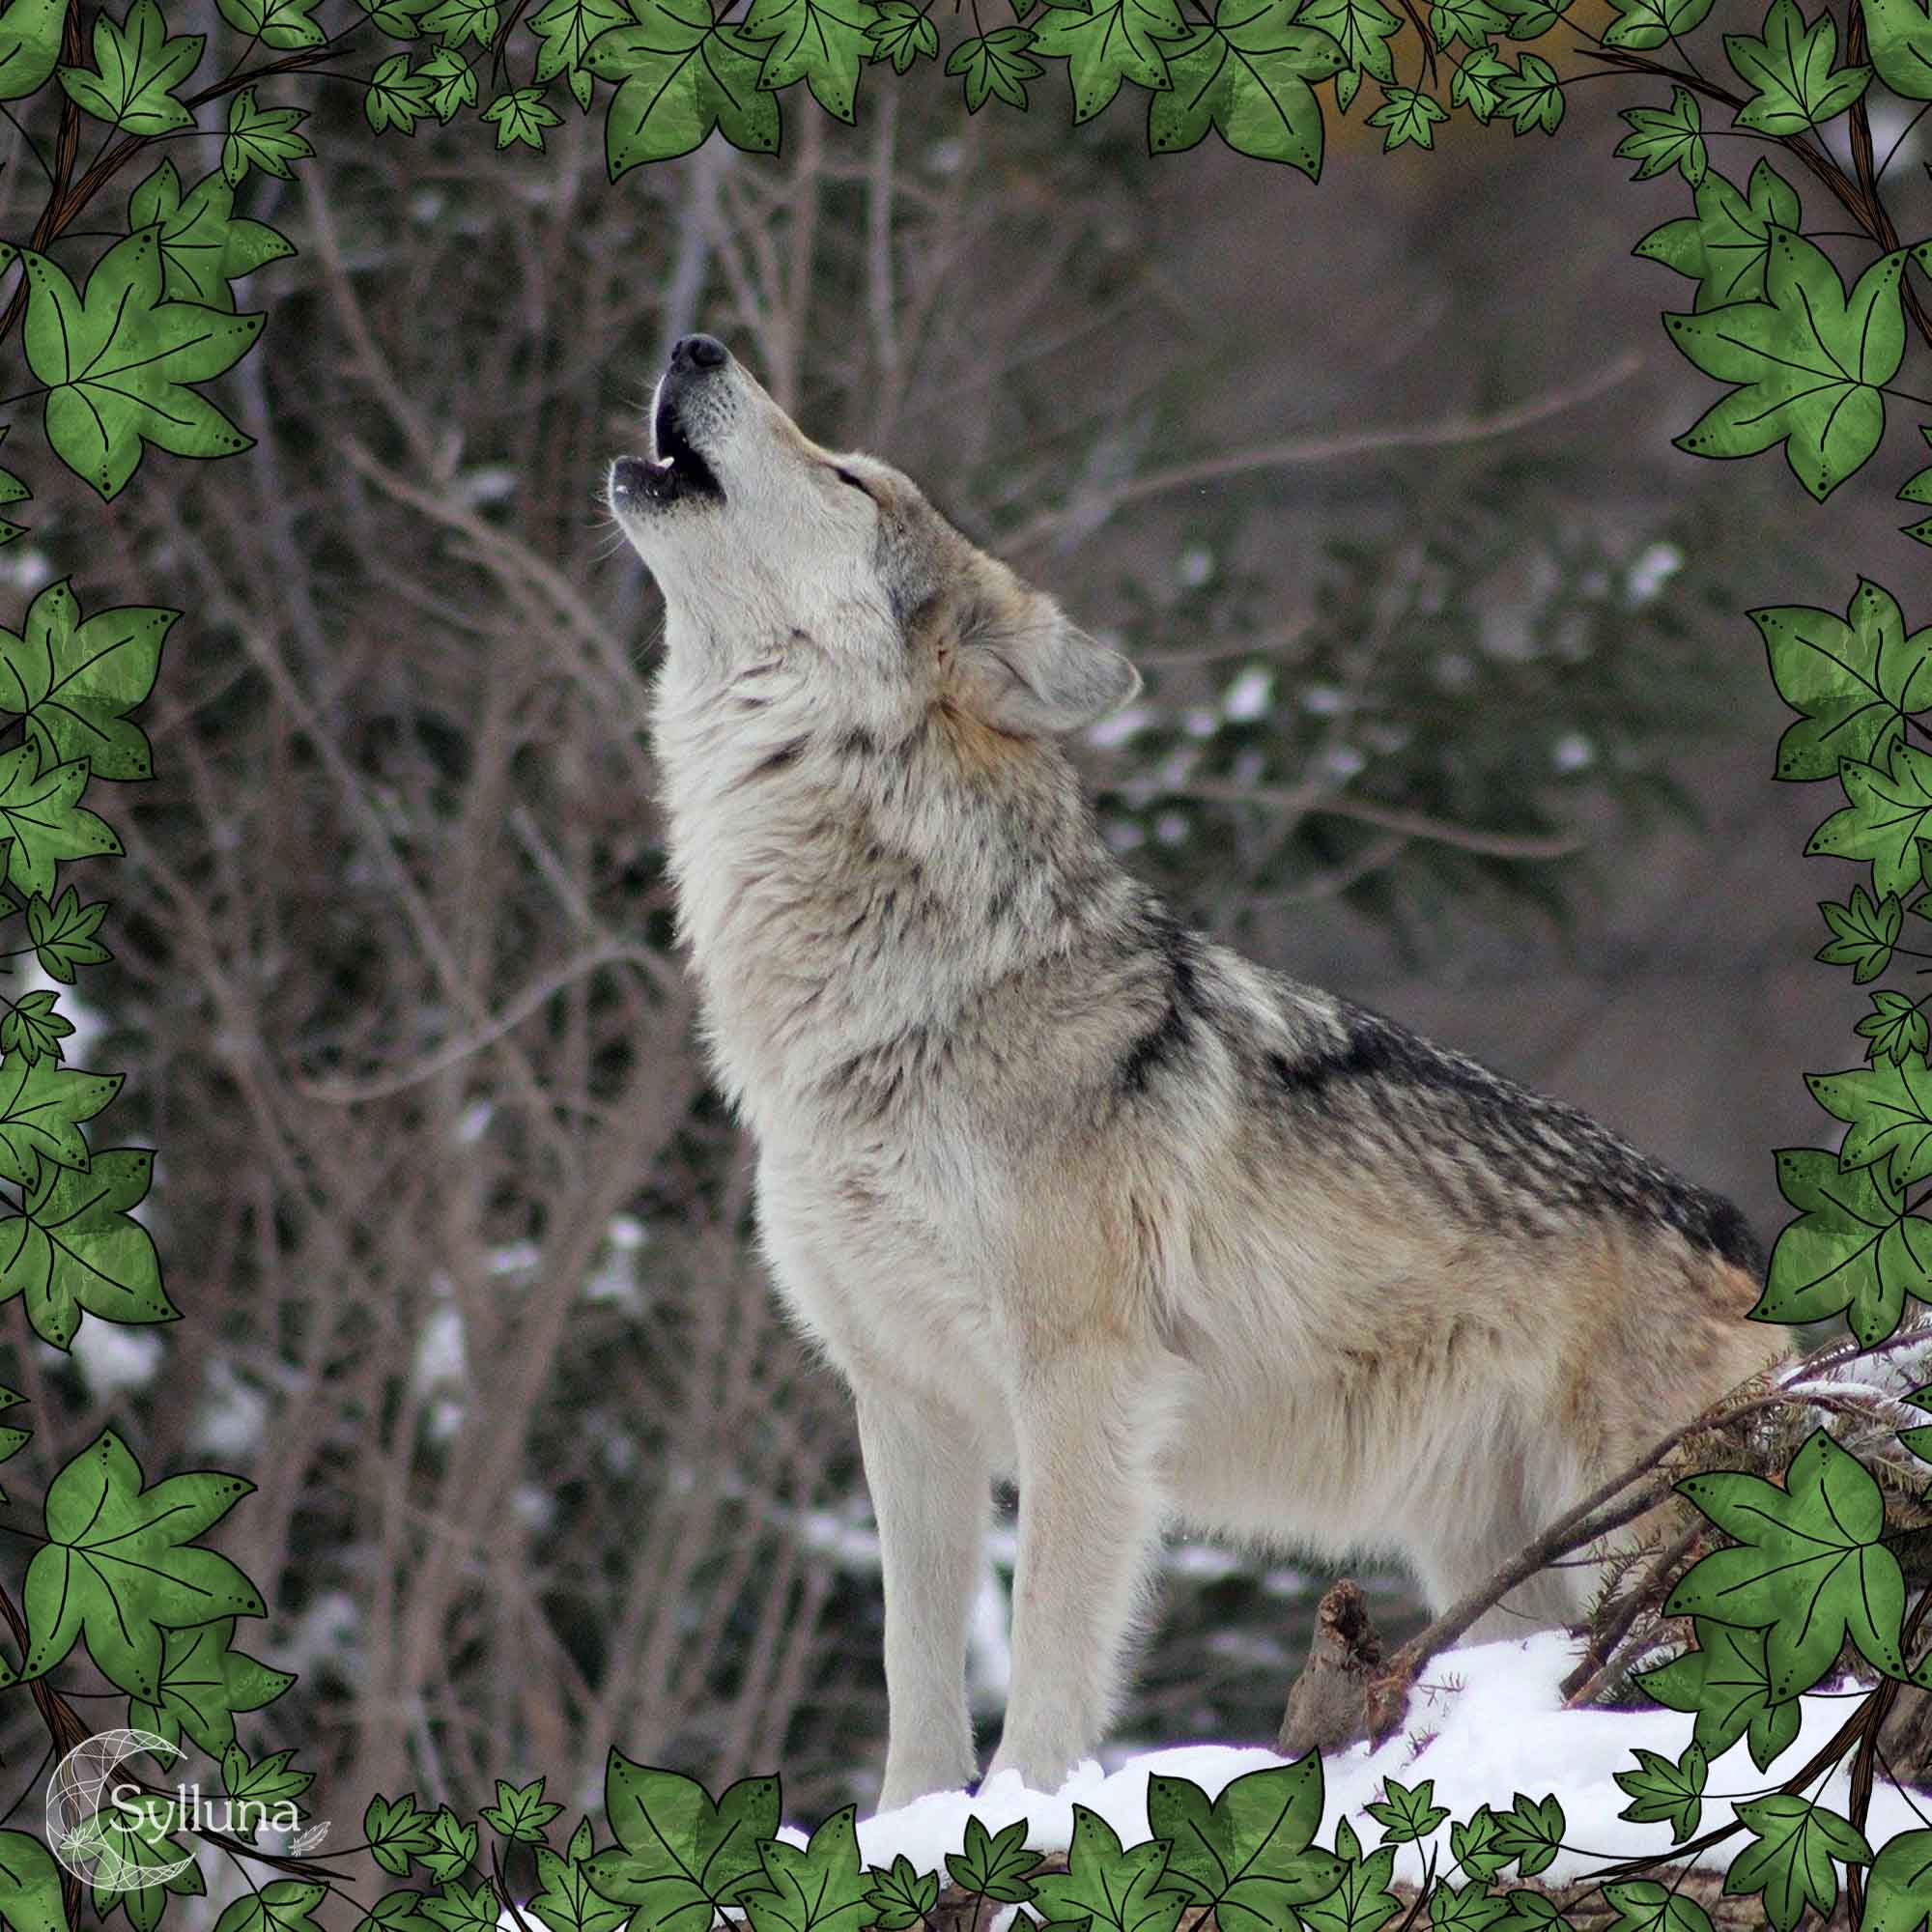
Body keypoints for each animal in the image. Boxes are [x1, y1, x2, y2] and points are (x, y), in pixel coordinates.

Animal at [607, 333, 1789, 1812]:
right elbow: (914, 1672)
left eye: (847, 475)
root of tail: (1742, 1239)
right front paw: (908, 1826)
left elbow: (1048, 1644)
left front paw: (1025, 1814)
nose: (694, 344)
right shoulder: (905, 1400)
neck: (898, 1001)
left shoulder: (1082, 1385)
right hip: (1497, 1566)